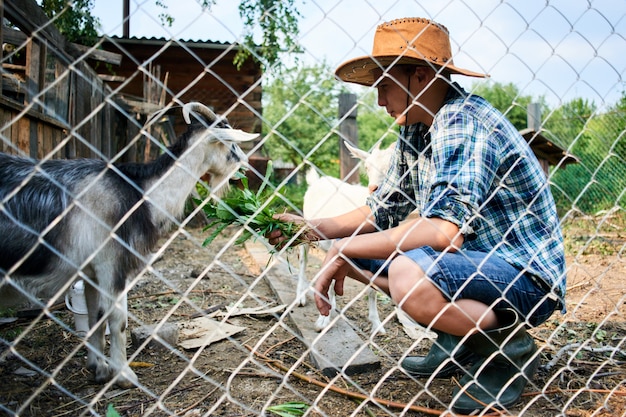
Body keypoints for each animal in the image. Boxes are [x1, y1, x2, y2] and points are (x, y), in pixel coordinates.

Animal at [0, 102, 258, 388]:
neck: (139, 193)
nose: (246, 167)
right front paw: (124, 375)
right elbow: (117, 319)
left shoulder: (91, 272)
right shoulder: (110, 262)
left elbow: (95, 317)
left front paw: (99, 368)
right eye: (230, 144)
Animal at [296, 141, 390, 336]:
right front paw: (323, 320)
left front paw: (377, 324)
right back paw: (301, 297)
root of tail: (317, 181)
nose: (374, 189)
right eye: (367, 167)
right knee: (303, 260)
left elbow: (372, 290)